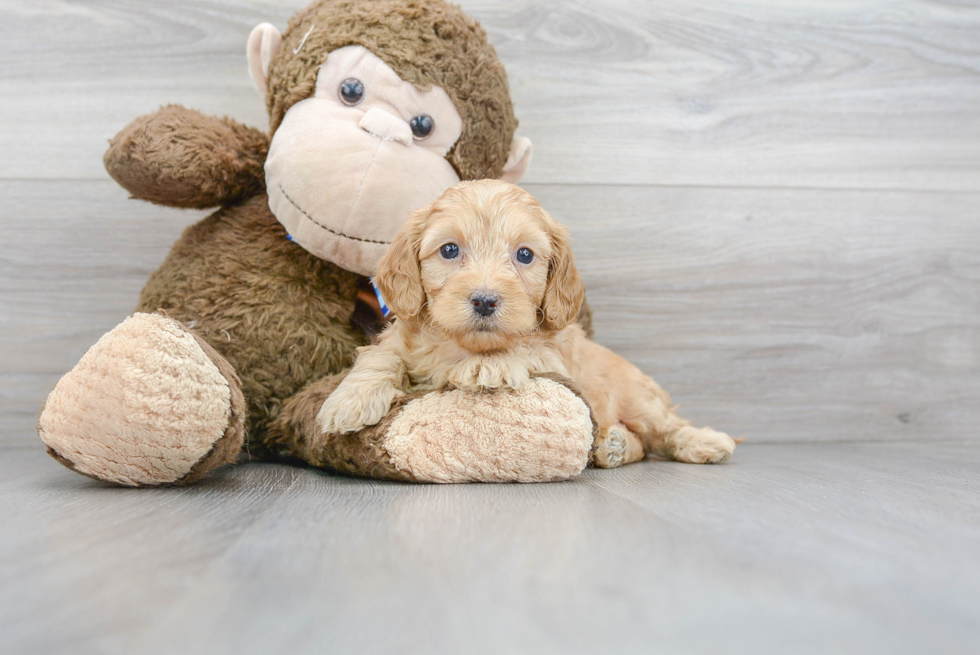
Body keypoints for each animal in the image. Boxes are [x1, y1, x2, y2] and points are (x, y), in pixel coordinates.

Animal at [318, 179, 740, 466]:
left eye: (524, 254)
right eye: (449, 250)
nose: (485, 300)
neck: (463, 345)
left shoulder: (555, 356)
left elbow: (524, 346)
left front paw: (486, 366)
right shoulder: (402, 333)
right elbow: (382, 354)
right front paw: (350, 400)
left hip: (641, 400)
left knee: (665, 429)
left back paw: (703, 442)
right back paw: (614, 445)